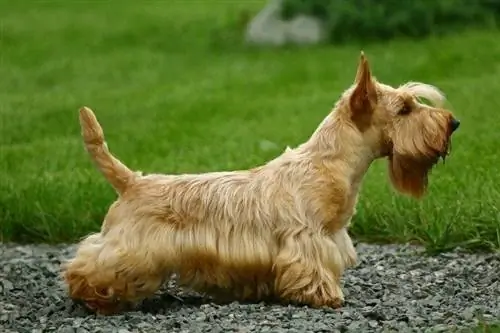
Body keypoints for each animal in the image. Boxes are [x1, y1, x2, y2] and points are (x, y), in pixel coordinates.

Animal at [60, 52, 458, 314]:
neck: (327, 164)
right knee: (88, 264)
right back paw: (94, 295)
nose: (453, 123)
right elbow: (312, 270)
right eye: (404, 109)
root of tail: (131, 182)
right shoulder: (306, 238)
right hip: (129, 249)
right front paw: (325, 295)